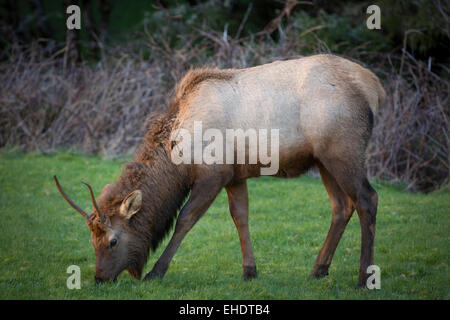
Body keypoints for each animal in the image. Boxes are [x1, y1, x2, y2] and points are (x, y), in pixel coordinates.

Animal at [55, 53, 386, 288]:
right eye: (91, 240)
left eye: (112, 240)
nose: (99, 278)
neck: (179, 155)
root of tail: (375, 89)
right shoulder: (234, 175)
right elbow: (240, 217)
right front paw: (250, 271)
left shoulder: (211, 175)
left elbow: (185, 219)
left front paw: (156, 272)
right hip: (323, 160)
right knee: (341, 206)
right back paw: (318, 270)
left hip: (342, 151)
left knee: (367, 199)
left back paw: (363, 278)